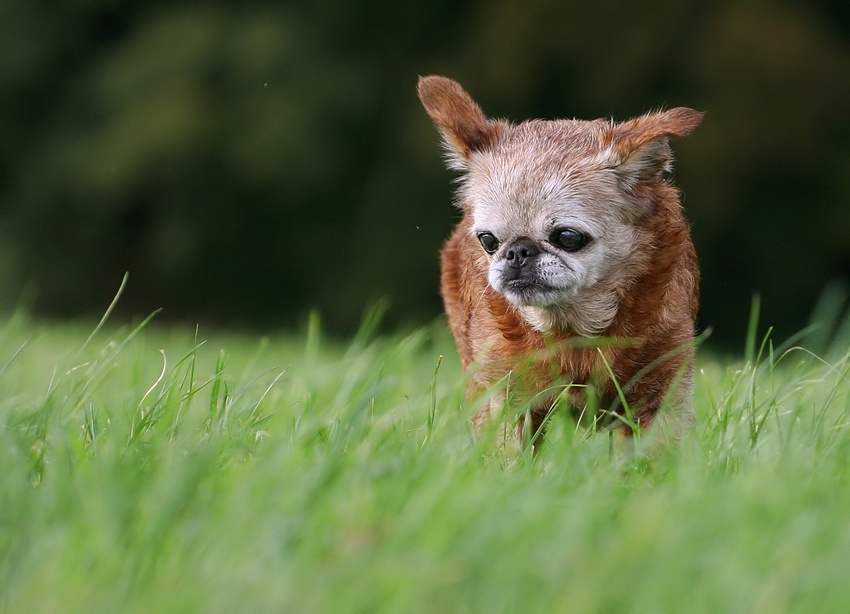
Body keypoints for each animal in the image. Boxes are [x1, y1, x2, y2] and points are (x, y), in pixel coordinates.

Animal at [418, 74, 704, 450]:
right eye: (488, 241)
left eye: (568, 237)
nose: (518, 252)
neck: (571, 329)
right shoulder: (508, 400)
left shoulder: (659, 392)